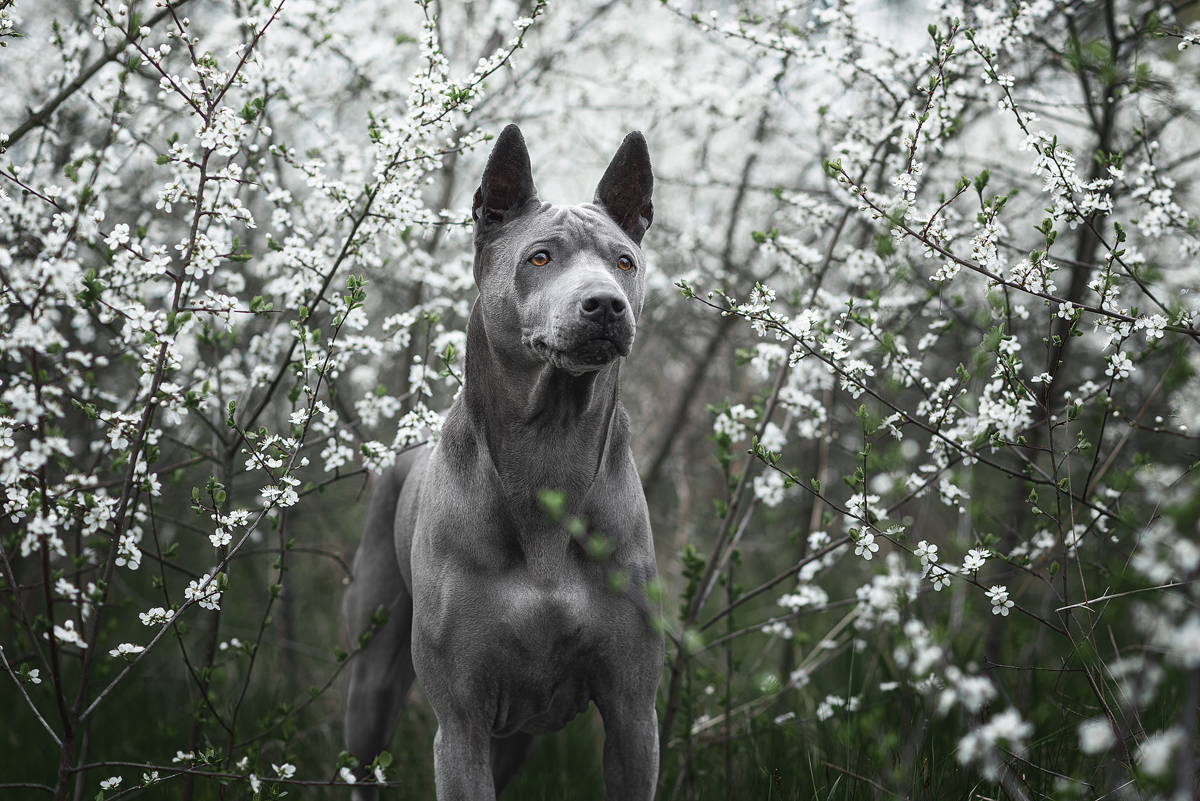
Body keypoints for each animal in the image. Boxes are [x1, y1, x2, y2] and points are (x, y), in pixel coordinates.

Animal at [343, 126, 667, 801]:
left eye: (624, 261)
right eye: (539, 258)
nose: (606, 304)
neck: (549, 453)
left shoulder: (633, 714)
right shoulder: (461, 721)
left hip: (520, 733)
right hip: (372, 685)